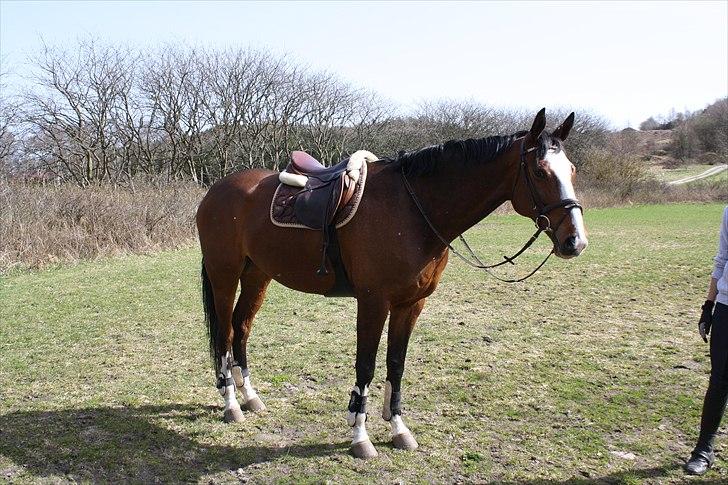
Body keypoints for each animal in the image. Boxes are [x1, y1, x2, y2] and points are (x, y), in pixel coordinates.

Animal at [196, 108, 588, 458]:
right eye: (539, 171)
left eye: (571, 170)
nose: (576, 241)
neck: (411, 211)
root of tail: (217, 190)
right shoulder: (373, 302)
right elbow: (366, 366)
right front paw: (360, 437)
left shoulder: (410, 304)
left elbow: (396, 364)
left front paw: (399, 429)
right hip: (224, 274)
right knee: (225, 333)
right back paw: (231, 404)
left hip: (257, 275)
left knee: (242, 328)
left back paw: (250, 397)